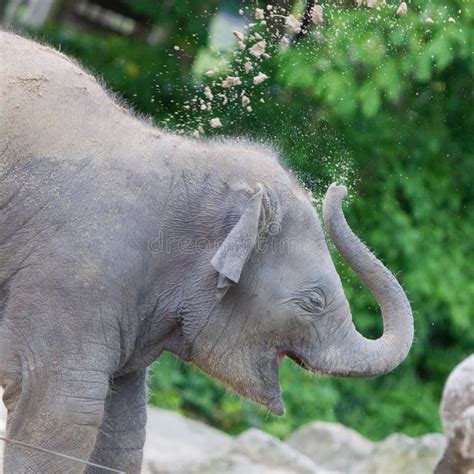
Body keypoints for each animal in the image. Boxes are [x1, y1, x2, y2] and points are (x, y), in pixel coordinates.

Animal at [0, 31, 412, 472]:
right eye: (315, 301)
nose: (341, 186)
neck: (191, 161)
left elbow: (124, 426)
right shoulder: (75, 276)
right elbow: (64, 412)